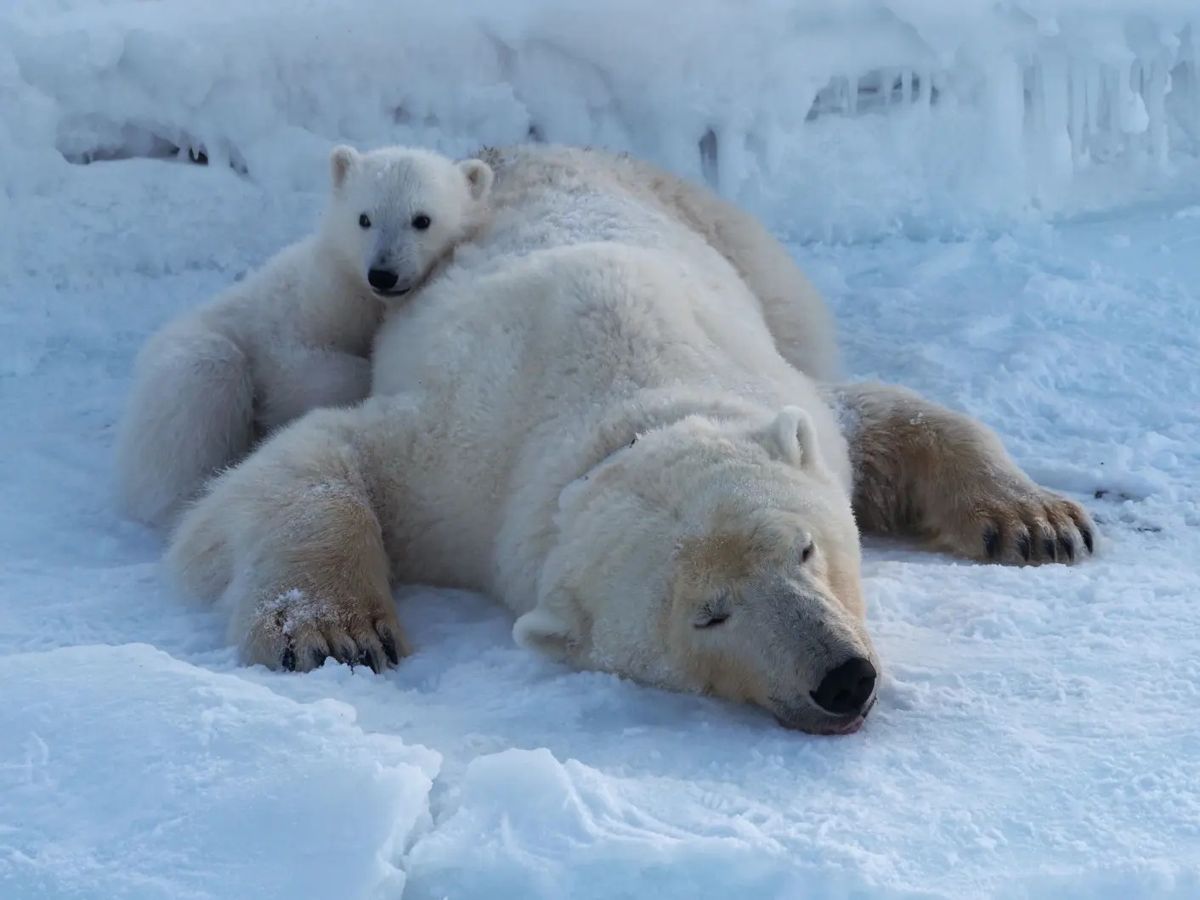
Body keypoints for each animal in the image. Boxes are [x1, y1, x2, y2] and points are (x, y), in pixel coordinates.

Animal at [114, 144, 494, 528]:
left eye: (422, 220)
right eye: (364, 218)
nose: (383, 274)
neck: (362, 297)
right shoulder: (305, 307)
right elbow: (296, 368)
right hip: (189, 355)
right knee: (201, 383)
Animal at [166, 144, 1094, 735]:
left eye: (804, 549)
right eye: (708, 616)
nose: (842, 679)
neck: (624, 402)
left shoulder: (768, 385)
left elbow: (881, 418)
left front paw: (1038, 523)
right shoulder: (464, 467)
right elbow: (317, 459)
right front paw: (335, 633)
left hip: (740, 244)